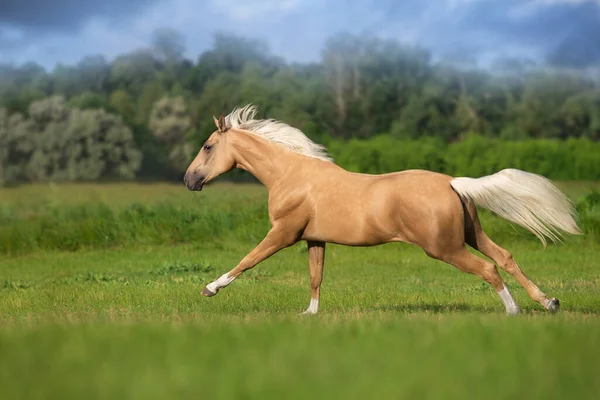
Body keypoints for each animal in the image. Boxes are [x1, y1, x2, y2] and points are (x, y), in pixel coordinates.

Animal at [184, 105, 580, 316]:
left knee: (488, 268)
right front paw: (310, 313)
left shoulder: (283, 232)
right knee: (506, 257)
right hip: (471, 234)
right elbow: (315, 276)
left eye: (207, 146)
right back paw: (549, 302)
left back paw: (513, 311)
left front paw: (209, 289)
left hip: (444, 248)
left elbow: (248, 260)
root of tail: (454, 182)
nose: (189, 181)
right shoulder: (314, 239)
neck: (290, 175)